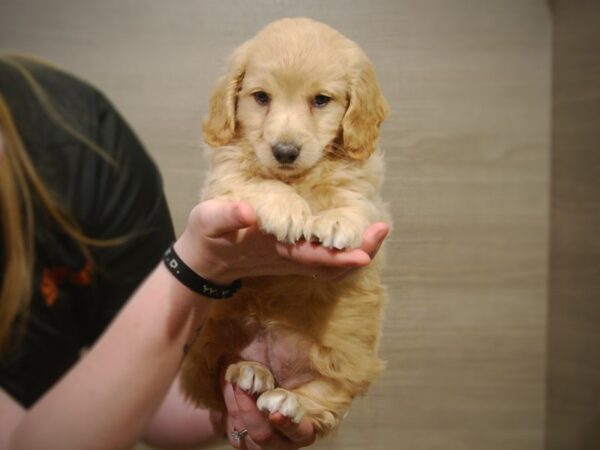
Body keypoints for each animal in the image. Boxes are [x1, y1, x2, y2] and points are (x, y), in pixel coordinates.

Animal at [3, 200, 390, 450]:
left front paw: (333, 224)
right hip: (214, 342)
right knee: (224, 367)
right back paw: (253, 373)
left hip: (339, 372)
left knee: (321, 400)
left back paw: (285, 399)